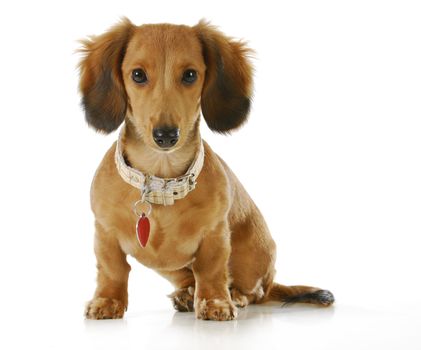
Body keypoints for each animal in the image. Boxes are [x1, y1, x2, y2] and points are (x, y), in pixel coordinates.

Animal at [79, 18, 334, 320]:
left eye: (190, 75)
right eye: (138, 75)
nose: (166, 135)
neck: (161, 184)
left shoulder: (215, 234)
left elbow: (211, 269)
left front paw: (215, 302)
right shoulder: (104, 232)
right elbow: (112, 269)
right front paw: (107, 301)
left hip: (254, 255)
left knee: (255, 292)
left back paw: (235, 296)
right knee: (189, 280)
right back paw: (186, 296)